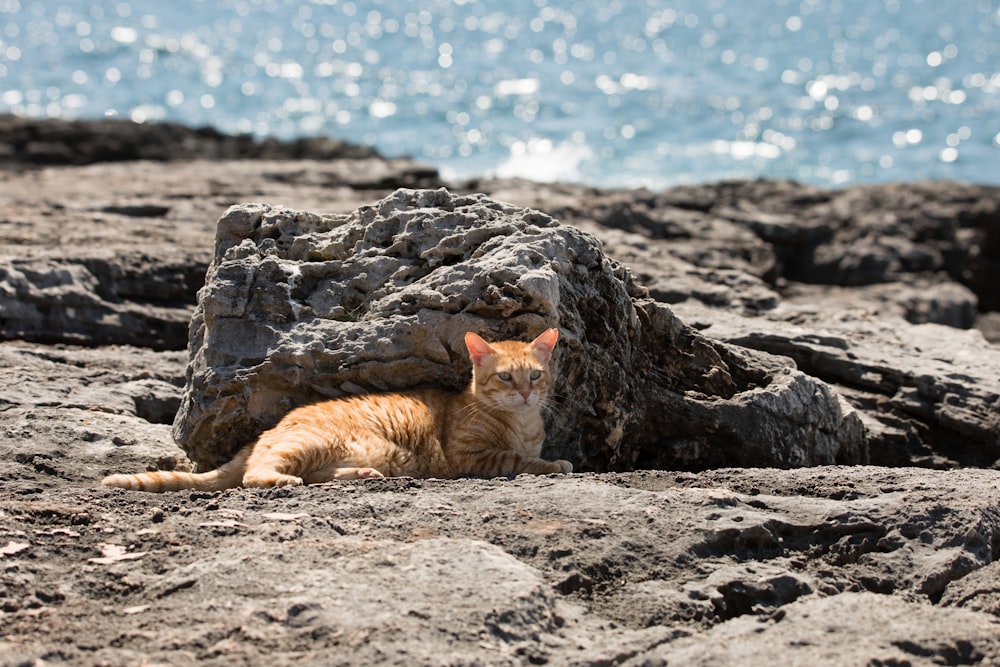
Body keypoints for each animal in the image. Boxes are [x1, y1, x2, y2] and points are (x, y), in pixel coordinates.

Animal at [102, 328, 576, 490]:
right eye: (506, 378)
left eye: (535, 376)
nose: (526, 394)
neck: (521, 422)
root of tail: (268, 430)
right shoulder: (471, 457)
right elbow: (519, 460)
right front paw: (555, 464)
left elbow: (526, 455)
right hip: (307, 443)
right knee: (256, 476)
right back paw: (282, 481)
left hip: (366, 452)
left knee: (314, 472)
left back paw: (360, 474)